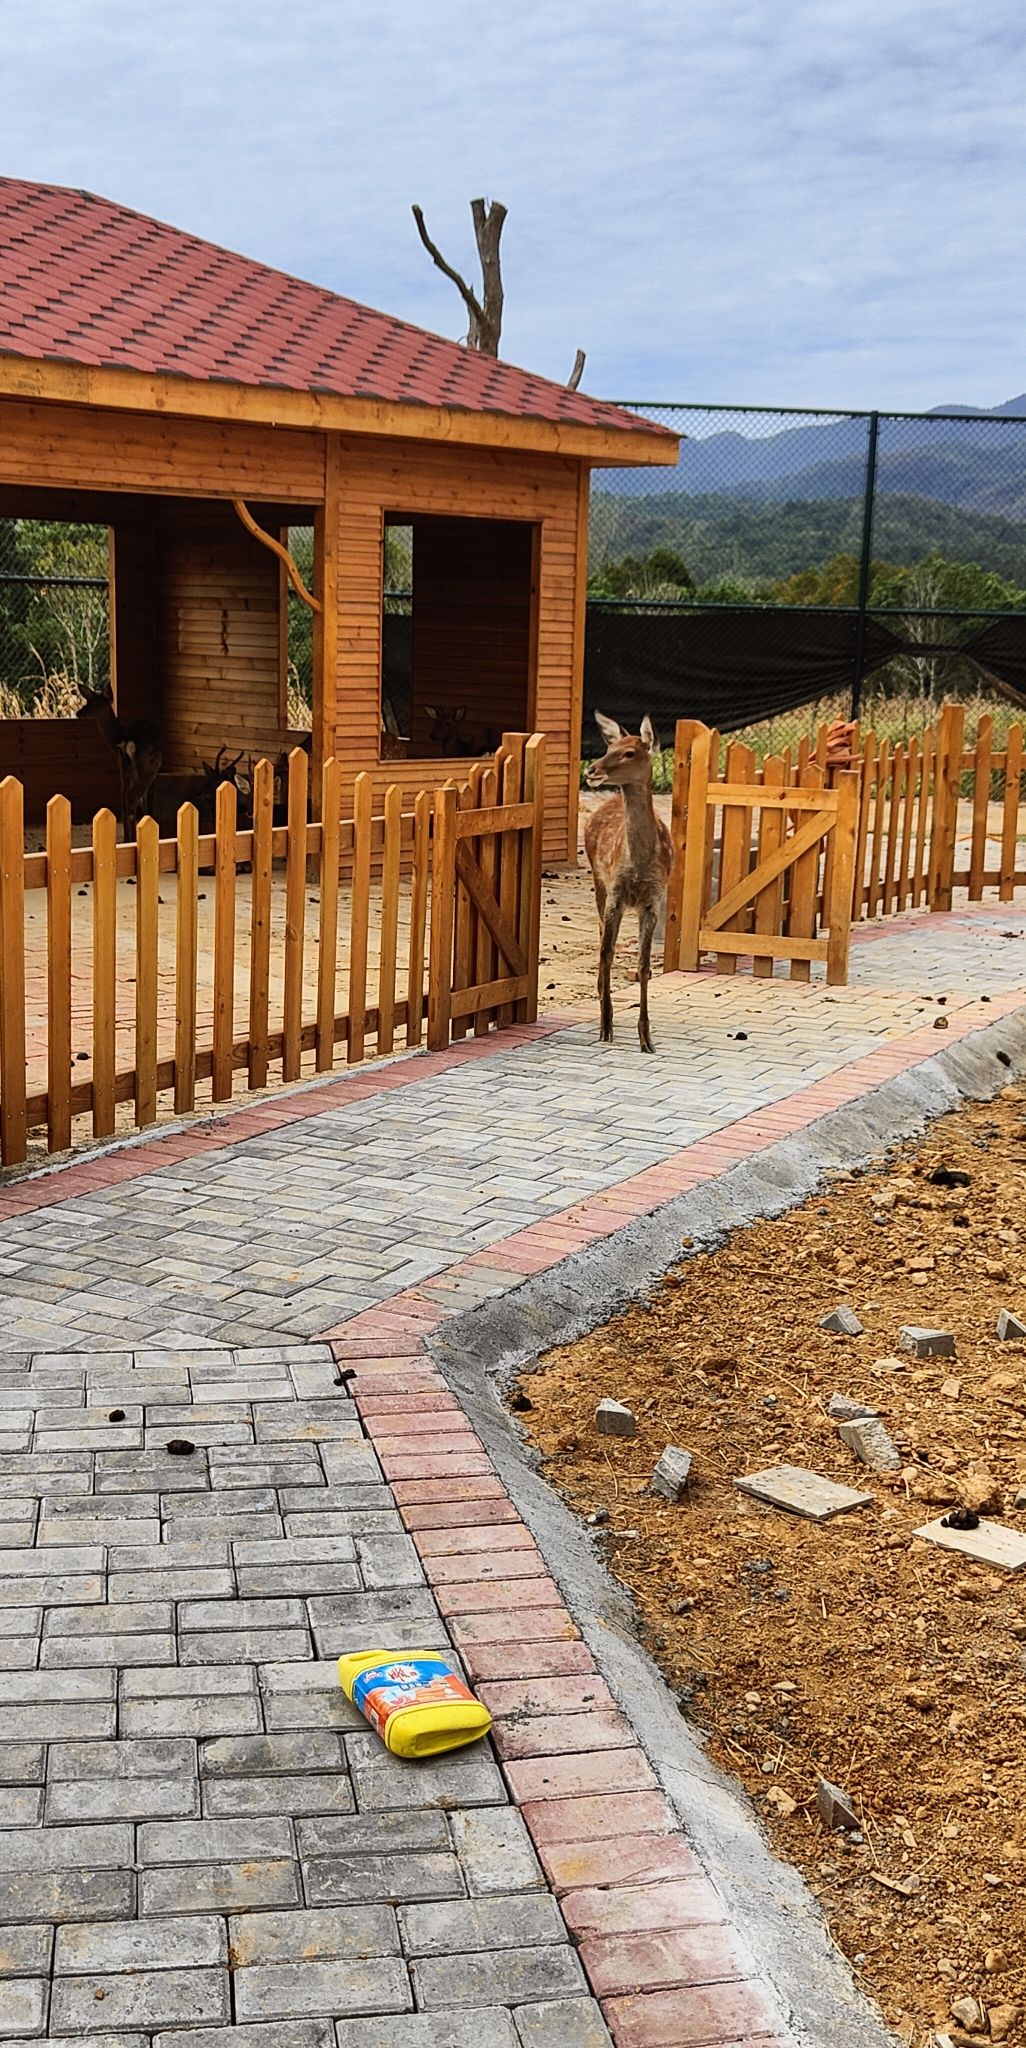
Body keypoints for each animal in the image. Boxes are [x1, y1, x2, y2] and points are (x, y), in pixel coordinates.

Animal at [76, 683, 162, 842]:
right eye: (87, 702)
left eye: (97, 703)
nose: (79, 713)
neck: (117, 738)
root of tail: (129, 741)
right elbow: (144, 799)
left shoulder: (121, 766)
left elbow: (124, 799)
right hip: (148, 768)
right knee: (132, 798)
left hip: (130, 769)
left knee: (125, 799)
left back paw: (128, 839)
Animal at [584, 712, 672, 1055]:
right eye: (610, 747)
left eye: (630, 752)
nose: (591, 770)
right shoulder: (616, 894)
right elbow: (607, 953)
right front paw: (605, 1026)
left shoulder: (653, 899)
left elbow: (644, 965)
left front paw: (646, 1038)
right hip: (598, 882)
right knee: (600, 939)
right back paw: (600, 997)